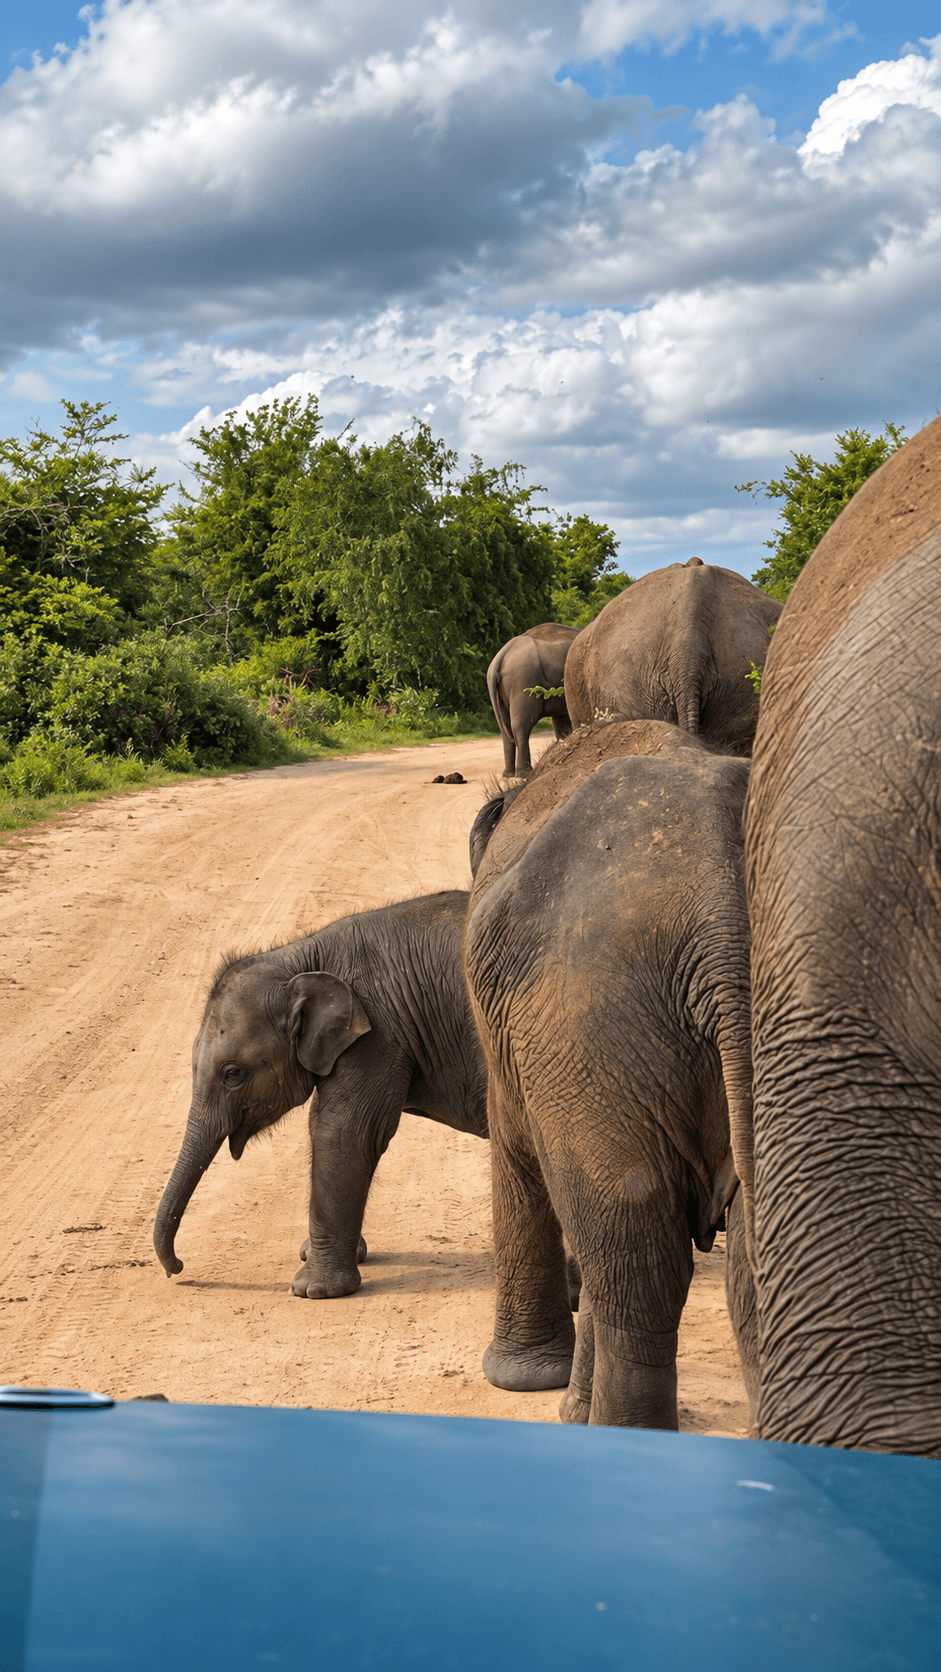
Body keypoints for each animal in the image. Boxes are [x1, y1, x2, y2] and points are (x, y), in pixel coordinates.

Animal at [154, 891, 489, 1300]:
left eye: (233, 1074)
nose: (178, 1269)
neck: (304, 958)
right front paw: (312, 1256)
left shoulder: (376, 1035)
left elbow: (343, 1130)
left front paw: (313, 1290)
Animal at [487, 623, 580, 777]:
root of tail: (500, 657)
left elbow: (561, 721)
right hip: (523, 680)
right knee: (521, 725)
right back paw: (524, 774)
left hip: (499, 691)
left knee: (504, 728)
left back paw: (508, 775)